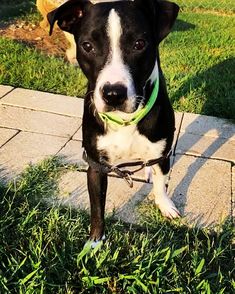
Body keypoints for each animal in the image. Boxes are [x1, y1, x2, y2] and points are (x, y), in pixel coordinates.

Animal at [47, 0, 180, 247]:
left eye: (139, 44)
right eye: (87, 45)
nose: (113, 94)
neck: (125, 120)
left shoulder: (161, 151)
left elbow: (161, 181)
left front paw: (164, 204)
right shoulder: (96, 165)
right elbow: (97, 208)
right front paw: (94, 244)